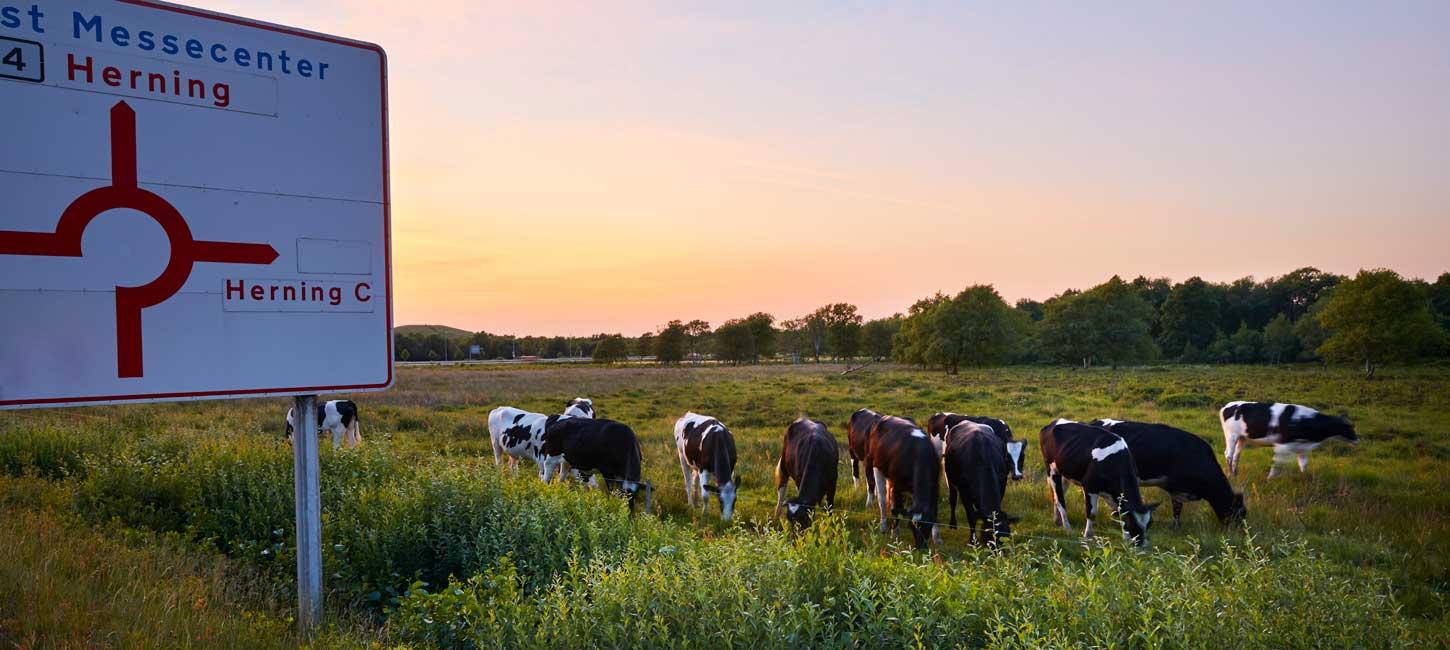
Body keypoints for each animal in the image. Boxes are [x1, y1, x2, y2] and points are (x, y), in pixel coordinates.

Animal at [864, 417, 945, 548]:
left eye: (927, 526)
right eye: (911, 527)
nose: (921, 547)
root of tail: (884, 417)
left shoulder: (934, 488)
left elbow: (934, 512)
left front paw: (937, 538)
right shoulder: (896, 486)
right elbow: (896, 508)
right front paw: (895, 535)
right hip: (876, 466)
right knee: (882, 499)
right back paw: (883, 525)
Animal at [945, 417, 1015, 545]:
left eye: (1006, 536)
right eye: (990, 537)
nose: (1000, 551)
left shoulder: (1002, 484)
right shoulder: (964, 492)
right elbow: (971, 517)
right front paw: (973, 541)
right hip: (950, 479)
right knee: (952, 500)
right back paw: (953, 524)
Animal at [1038, 417, 1160, 545]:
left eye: (1150, 523)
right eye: (1133, 522)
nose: (1142, 545)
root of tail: (1054, 422)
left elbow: (1119, 512)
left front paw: (1125, 538)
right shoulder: (1089, 487)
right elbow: (1091, 513)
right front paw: (1087, 536)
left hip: (1065, 473)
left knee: (1055, 496)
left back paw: (1057, 521)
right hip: (1052, 470)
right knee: (1059, 499)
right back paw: (1067, 528)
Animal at [1223, 400, 1357, 475]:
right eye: (1349, 427)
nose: (1357, 439)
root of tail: (1227, 405)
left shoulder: (1302, 448)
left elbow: (1303, 465)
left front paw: (1305, 478)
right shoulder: (1282, 445)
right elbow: (1276, 463)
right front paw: (1270, 479)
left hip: (1242, 438)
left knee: (1236, 455)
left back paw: (1235, 473)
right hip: (1231, 436)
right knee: (1229, 454)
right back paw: (1230, 474)